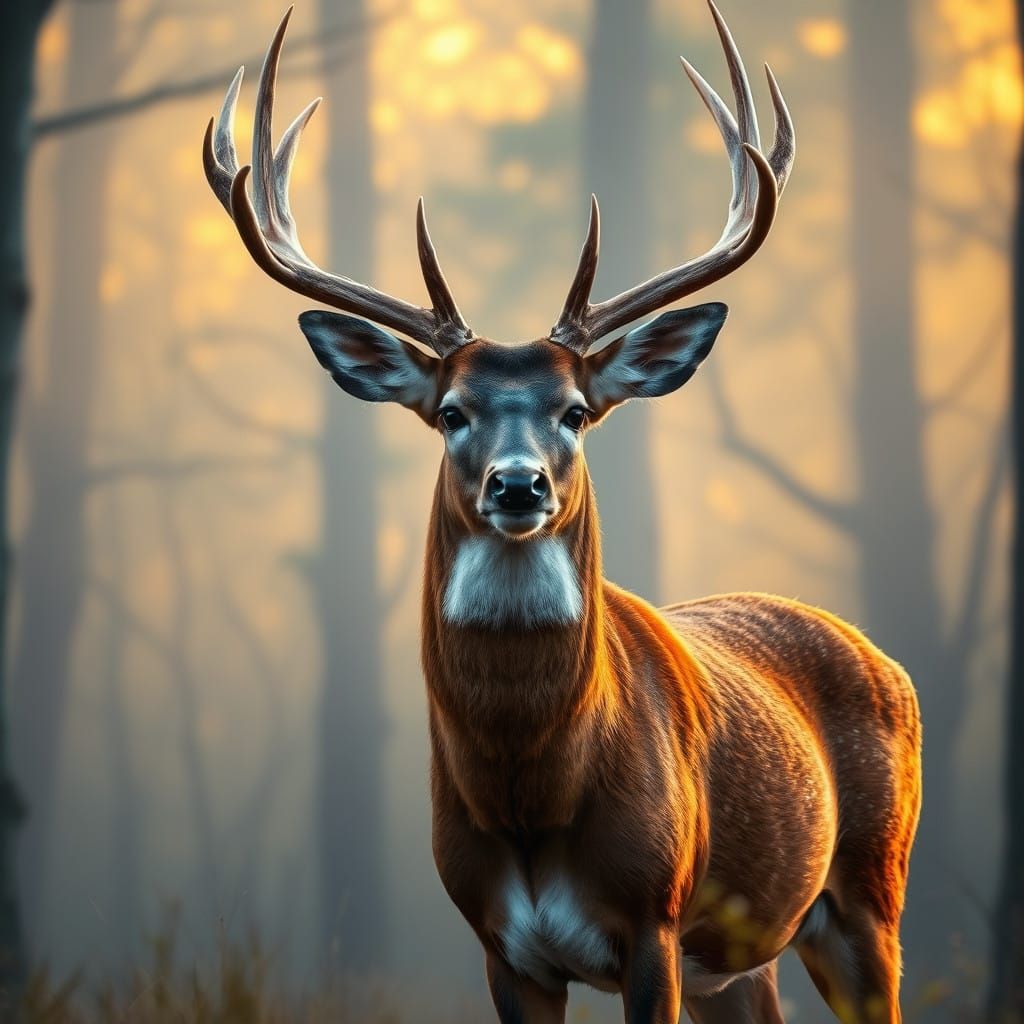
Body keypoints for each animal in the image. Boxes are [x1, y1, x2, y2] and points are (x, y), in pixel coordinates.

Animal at [203, 4, 922, 1021]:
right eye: (451, 411)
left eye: (576, 411)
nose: (519, 486)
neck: (530, 798)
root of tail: (881, 655)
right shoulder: (500, 945)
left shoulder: (655, 919)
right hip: (746, 955)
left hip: (869, 890)